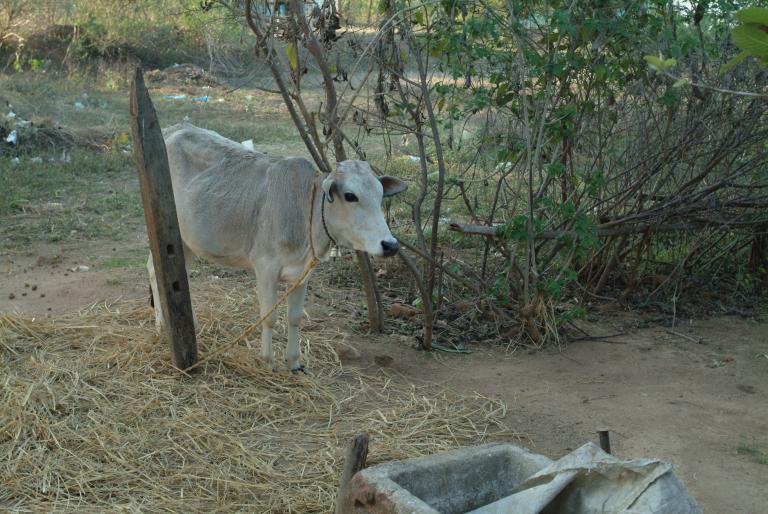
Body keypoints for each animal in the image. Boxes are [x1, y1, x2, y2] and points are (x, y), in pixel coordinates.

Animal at [146, 124, 408, 372]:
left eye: (380, 194)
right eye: (350, 195)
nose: (390, 244)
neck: (305, 211)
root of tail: (174, 129)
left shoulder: (303, 273)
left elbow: (295, 318)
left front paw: (294, 361)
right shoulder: (265, 268)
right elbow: (269, 318)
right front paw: (267, 361)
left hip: (186, 240)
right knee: (154, 270)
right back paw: (161, 326)